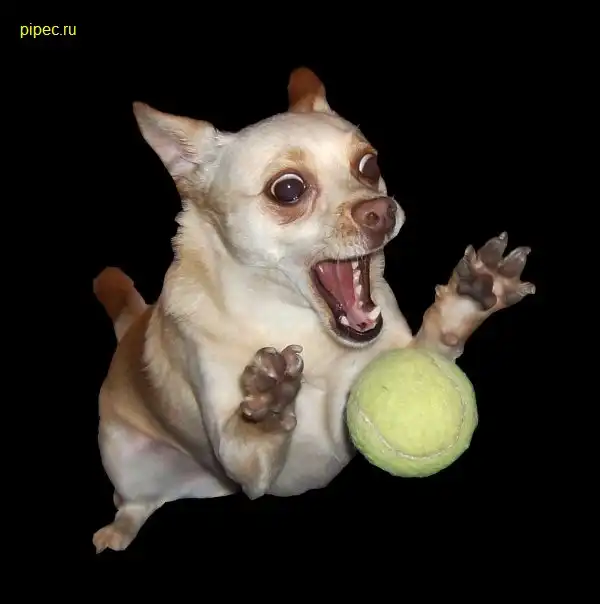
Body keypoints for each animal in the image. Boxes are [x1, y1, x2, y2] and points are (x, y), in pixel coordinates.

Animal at [92, 67, 535, 552]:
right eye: (288, 189)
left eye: (369, 166)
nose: (382, 209)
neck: (305, 328)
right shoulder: (249, 468)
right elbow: (250, 437)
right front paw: (267, 403)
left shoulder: (394, 363)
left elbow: (434, 347)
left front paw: (473, 295)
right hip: (125, 459)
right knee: (133, 502)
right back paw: (118, 530)